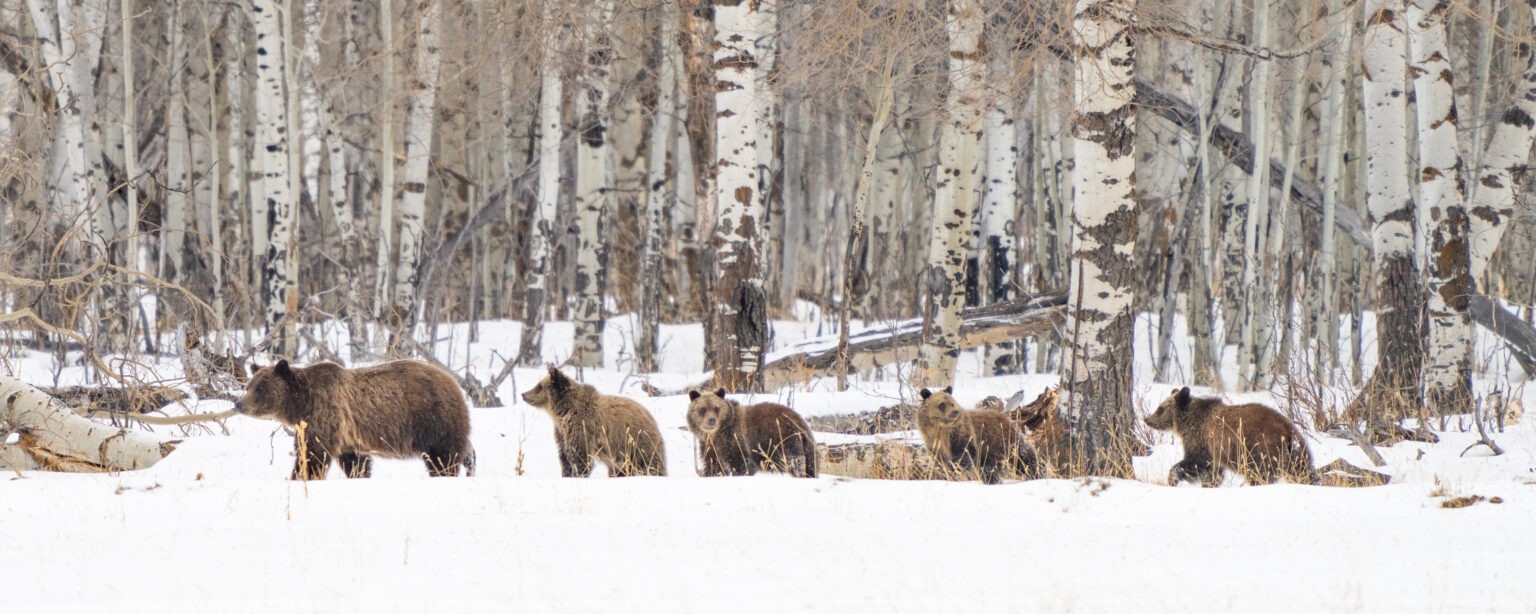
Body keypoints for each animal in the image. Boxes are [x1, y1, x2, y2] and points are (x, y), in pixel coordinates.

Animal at [234, 359, 475, 480]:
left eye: (260, 388)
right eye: (249, 386)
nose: (238, 404)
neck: (300, 404)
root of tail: (452, 380)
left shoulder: (324, 416)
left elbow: (312, 455)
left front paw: (301, 476)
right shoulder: (346, 436)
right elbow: (355, 463)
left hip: (433, 418)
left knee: (443, 456)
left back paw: (445, 474)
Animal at [520, 366, 667, 477]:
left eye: (539, 386)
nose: (523, 394)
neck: (562, 412)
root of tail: (651, 418)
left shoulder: (581, 428)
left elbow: (579, 457)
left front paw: (578, 474)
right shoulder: (561, 432)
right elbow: (564, 456)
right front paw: (566, 473)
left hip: (637, 443)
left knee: (651, 465)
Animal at [685, 389, 818, 478]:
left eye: (716, 408)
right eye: (703, 409)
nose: (711, 420)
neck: (716, 434)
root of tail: (800, 420)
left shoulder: (736, 440)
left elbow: (741, 463)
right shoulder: (710, 447)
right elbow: (713, 465)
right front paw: (712, 474)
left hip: (785, 439)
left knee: (793, 461)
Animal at [1144, 387, 1318, 486]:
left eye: (1160, 408)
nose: (1147, 419)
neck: (1186, 421)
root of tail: (1287, 429)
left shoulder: (1202, 440)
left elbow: (1194, 463)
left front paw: (1173, 477)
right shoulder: (1214, 451)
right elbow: (1213, 472)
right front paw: (1210, 484)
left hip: (1260, 449)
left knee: (1260, 473)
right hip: (1297, 452)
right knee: (1303, 470)